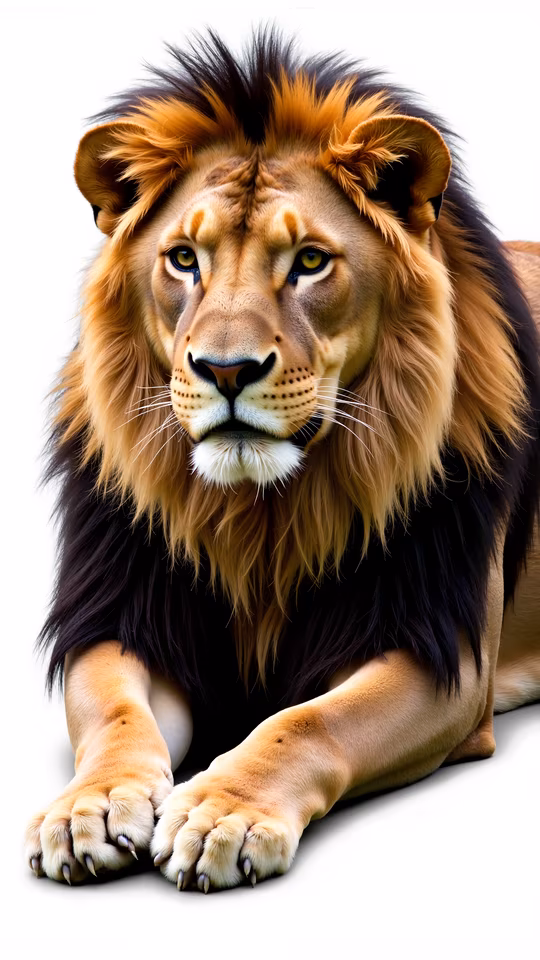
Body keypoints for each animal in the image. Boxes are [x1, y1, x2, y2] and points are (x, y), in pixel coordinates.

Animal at [25, 30, 540, 891]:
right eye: (183, 259)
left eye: (308, 261)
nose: (226, 370)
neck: (257, 512)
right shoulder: (122, 613)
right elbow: (116, 714)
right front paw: (88, 805)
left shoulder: (437, 648)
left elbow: (308, 723)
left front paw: (223, 812)